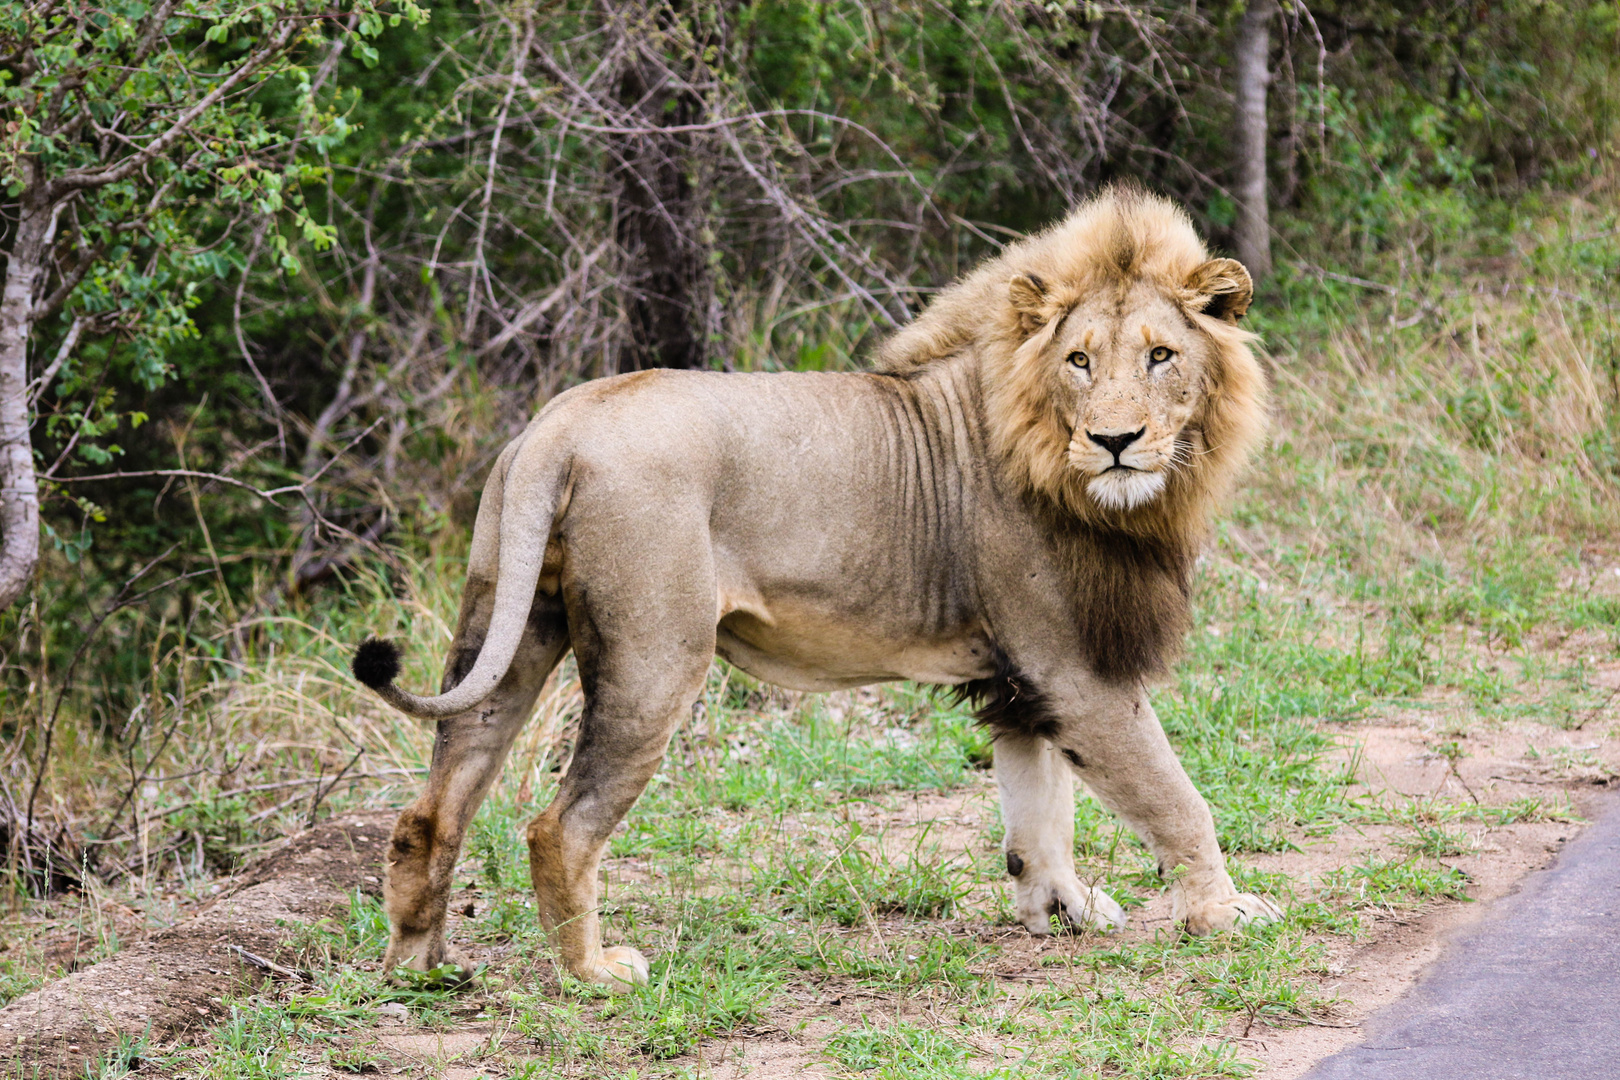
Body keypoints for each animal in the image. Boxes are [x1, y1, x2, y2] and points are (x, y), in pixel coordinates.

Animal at [351, 183, 1276, 990]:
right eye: (1080, 360)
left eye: (1161, 355)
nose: (1115, 441)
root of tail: (558, 424)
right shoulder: (1077, 671)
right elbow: (1175, 798)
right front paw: (1226, 914)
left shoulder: (1022, 681)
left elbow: (1039, 809)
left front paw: (1064, 908)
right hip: (655, 656)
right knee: (558, 828)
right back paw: (594, 975)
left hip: (506, 627)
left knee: (433, 809)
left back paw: (418, 967)